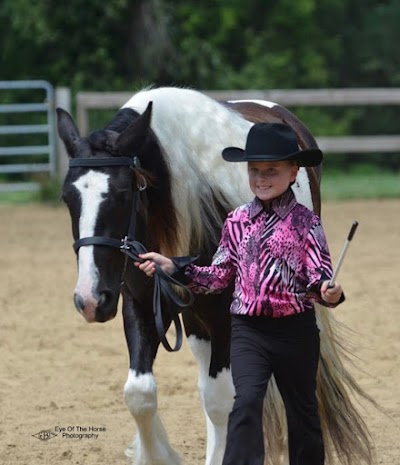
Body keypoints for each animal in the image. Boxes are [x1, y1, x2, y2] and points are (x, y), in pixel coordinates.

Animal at [57, 87, 374, 464]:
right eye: (67, 198)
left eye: (122, 195)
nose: (90, 299)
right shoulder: (141, 304)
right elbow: (140, 394)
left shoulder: (225, 315)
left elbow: (223, 400)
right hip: (195, 322)